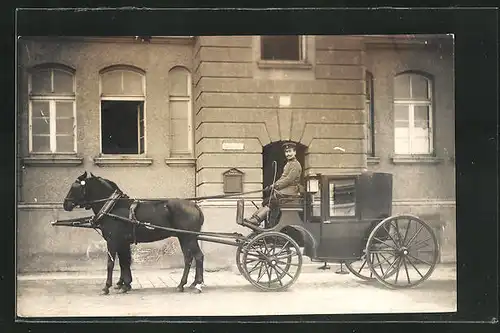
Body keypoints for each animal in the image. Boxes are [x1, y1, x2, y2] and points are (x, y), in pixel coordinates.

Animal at [62, 171, 205, 294]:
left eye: (74, 188)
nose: (65, 204)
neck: (113, 207)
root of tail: (194, 205)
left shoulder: (112, 241)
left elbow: (111, 263)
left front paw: (107, 286)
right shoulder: (123, 242)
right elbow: (124, 262)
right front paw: (125, 284)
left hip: (189, 237)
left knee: (198, 256)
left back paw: (197, 284)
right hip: (184, 237)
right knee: (188, 258)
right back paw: (184, 284)